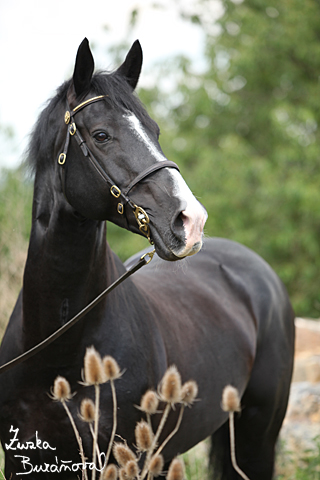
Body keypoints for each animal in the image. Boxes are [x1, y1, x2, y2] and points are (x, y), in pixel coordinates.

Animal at [0, 39, 296, 478]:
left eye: (154, 131)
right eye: (101, 135)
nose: (191, 221)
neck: (58, 345)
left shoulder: (125, 459)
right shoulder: (23, 459)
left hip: (256, 435)